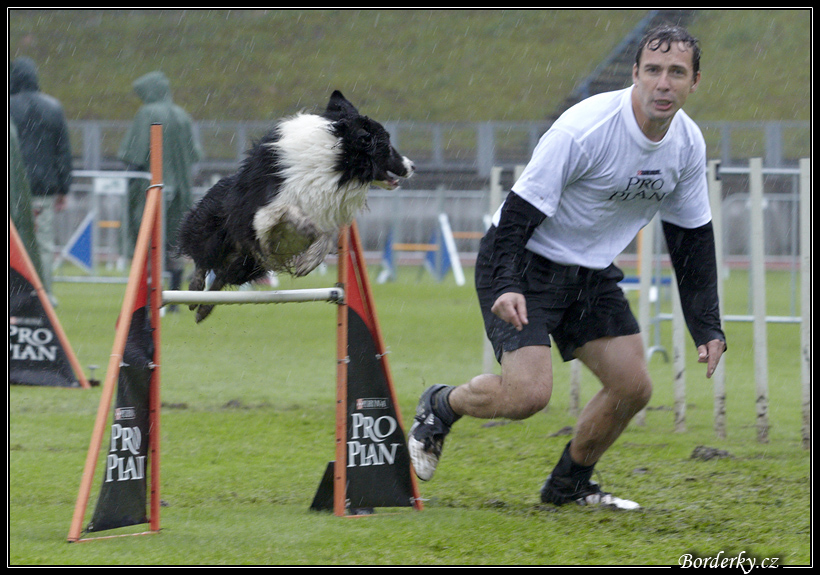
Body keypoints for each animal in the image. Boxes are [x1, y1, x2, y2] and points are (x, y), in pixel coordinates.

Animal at [176, 90, 414, 322]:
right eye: (386, 145)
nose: (412, 165)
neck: (336, 161)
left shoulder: (328, 210)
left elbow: (327, 235)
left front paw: (310, 259)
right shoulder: (263, 211)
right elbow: (292, 214)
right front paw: (308, 237)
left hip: (246, 264)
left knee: (221, 277)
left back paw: (203, 308)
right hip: (214, 232)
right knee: (202, 259)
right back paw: (194, 290)